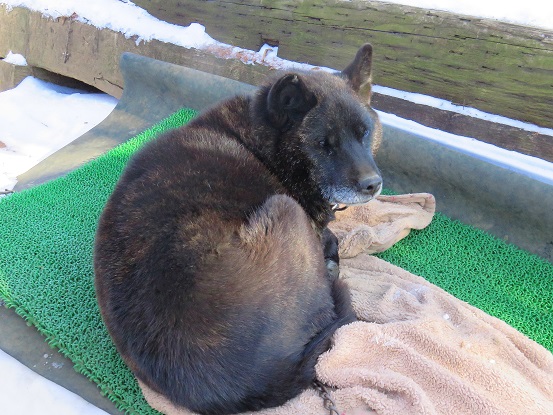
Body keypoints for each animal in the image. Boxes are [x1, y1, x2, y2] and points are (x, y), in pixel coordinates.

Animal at [94, 44, 380, 415]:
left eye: (364, 133)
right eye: (323, 144)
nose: (373, 185)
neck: (261, 142)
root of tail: (252, 386)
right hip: (285, 209)